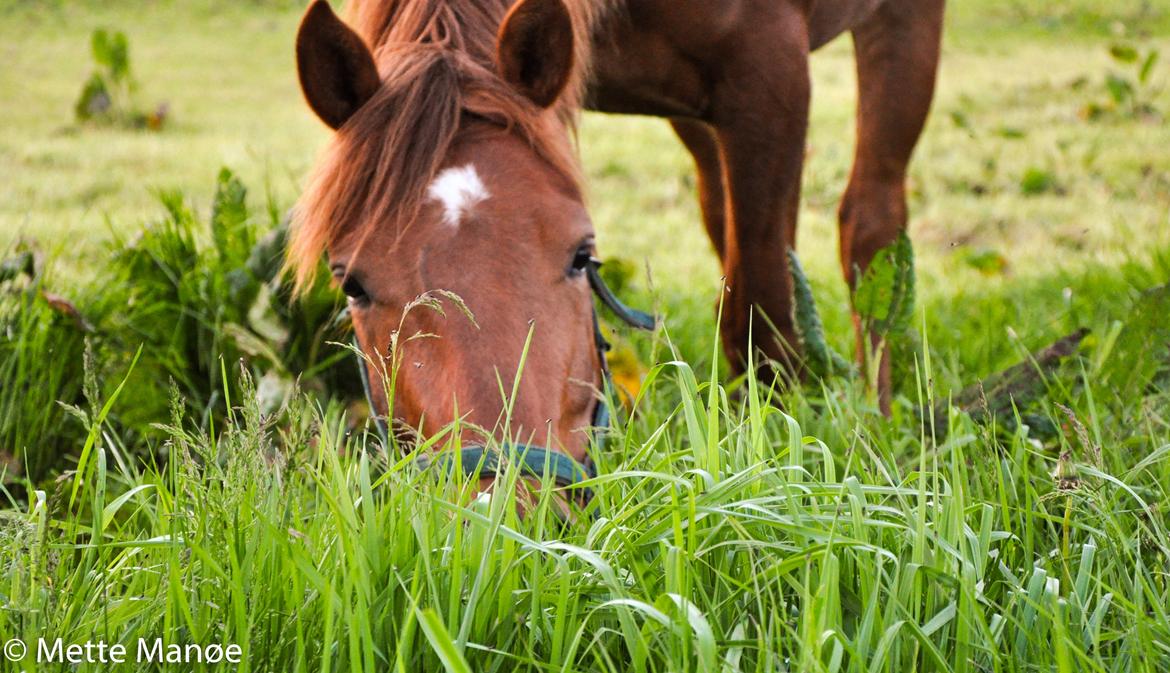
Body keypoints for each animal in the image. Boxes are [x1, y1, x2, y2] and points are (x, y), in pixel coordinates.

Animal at [287, 0, 945, 496]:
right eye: (352, 284)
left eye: (582, 255)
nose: (510, 514)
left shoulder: (768, 74)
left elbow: (761, 321)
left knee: (869, 220)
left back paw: (880, 410)